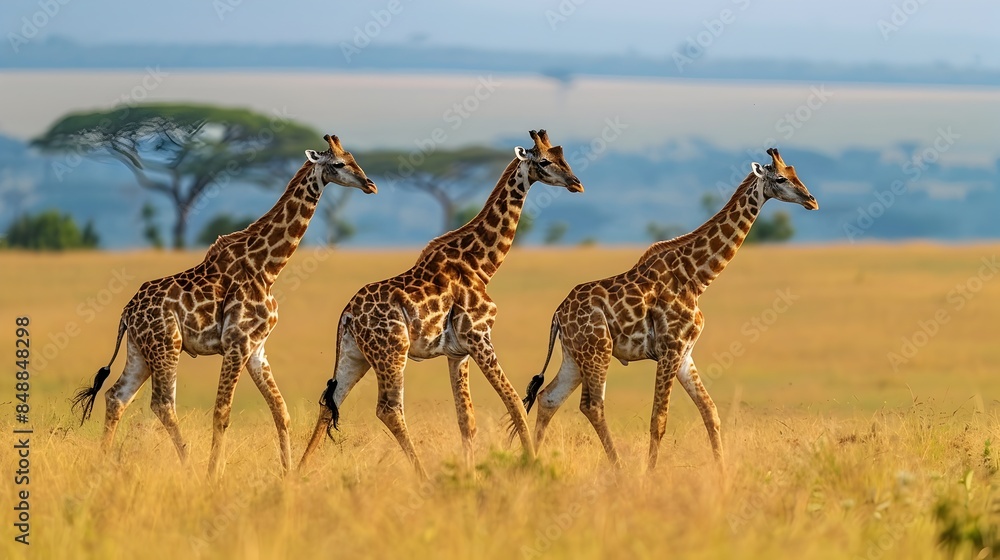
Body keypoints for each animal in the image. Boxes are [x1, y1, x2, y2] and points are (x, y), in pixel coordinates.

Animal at [71, 134, 377, 478]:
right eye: (337, 164)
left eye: (353, 158)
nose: (370, 184)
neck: (267, 268)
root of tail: (127, 313)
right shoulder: (236, 342)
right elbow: (222, 412)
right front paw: (214, 474)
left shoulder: (256, 348)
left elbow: (280, 410)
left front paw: (287, 475)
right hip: (166, 345)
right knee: (162, 403)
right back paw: (189, 468)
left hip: (140, 350)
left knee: (117, 396)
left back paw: (100, 465)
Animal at [298, 130, 584, 478]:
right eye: (543, 161)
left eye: (562, 156)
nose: (576, 183)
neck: (482, 265)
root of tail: (348, 315)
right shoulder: (479, 336)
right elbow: (514, 401)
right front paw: (531, 466)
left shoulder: (457, 353)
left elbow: (467, 420)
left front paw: (471, 475)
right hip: (392, 352)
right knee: (388, 409)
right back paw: (422, 477)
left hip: (356, 355)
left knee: (330, 404)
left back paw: (296, 474)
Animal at [519, 148, 818, 473]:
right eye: (781, 178)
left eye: (795, 173)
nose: (811, 200)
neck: (696, 278)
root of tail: (558, 315)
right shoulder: (669, 349)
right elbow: (659, 420)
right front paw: (650, 475)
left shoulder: (685, 353)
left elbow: (710, 411)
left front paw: (722, 472)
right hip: (597, 350)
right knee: (591, 405)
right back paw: (619, 469)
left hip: (574, 356)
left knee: (548, 398)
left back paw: (533, 462)